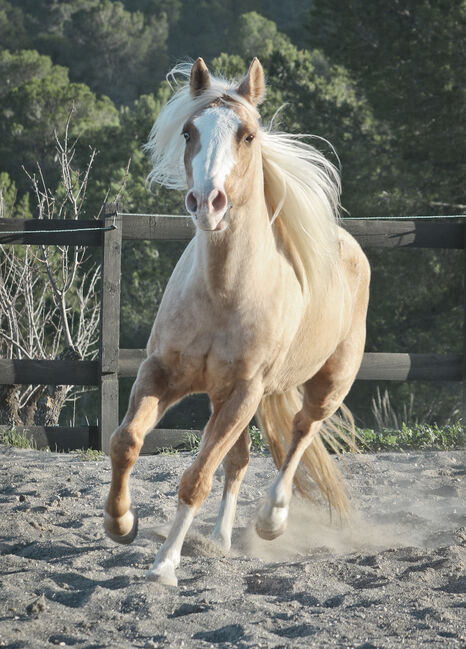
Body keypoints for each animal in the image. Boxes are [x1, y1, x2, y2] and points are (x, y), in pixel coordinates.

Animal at [104, 58, 370, 584]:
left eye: (247, 135)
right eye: (188, 131)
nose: (207, 202)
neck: (223, 292)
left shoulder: (246, 391)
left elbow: (197, 477)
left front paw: (164, 566)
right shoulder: (161, 372)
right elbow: (126, 441)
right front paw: (121, 524)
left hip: (326, 384)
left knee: (300, 434)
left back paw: (271, 520)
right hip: (224, 396)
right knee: (241, 460)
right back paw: (221, 540)